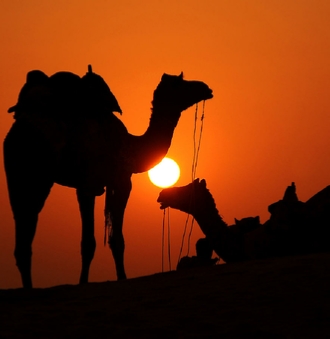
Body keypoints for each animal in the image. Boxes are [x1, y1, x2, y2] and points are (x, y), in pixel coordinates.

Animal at [4, 67, 214, 290]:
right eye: (181, 83)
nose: (205, 88)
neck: (132, 148)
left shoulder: (93, 186)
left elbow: (96, 241)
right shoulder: (114, 182)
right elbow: (108, 241)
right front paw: (115, 278)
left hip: (16, 175)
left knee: (23, 229)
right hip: (39, 175)